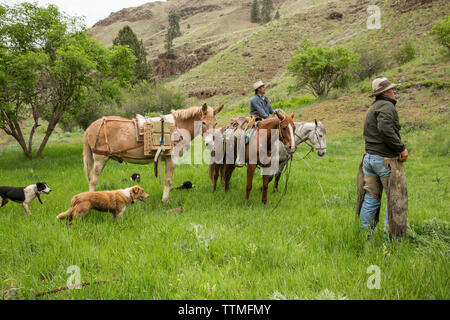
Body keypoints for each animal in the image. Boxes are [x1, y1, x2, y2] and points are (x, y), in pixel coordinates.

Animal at [82, 104, 223, 201]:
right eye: (203, 122)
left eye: (216, 123)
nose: (210, 143)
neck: (177, 128)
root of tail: (90, 127)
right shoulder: (172, 158)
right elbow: (168, 180)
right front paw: (165, 200)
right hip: (100, 159)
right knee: (93, 180)